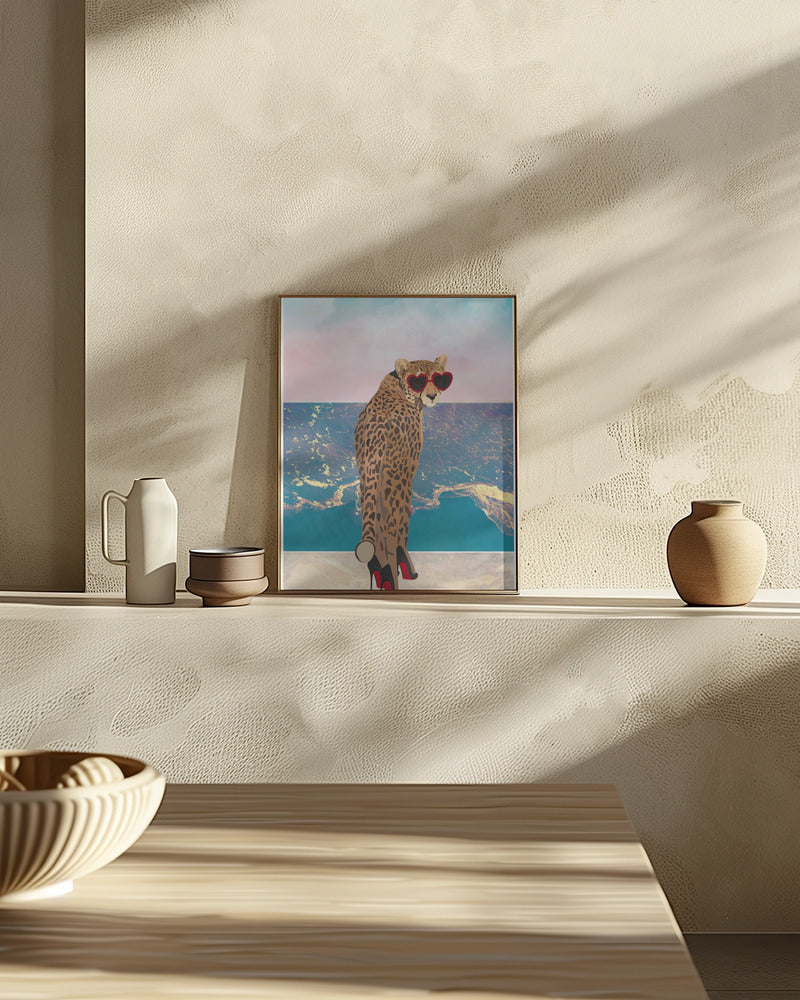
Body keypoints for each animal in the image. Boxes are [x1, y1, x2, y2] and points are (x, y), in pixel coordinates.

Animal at [354, 354, 452, 590]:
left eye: (439, 378)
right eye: (418, 380)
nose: (432, 395)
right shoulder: (408, 471)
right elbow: (404, 519)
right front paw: (404, 564)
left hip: (368, 475)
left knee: (376, 522)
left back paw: (381, 573)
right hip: (394, 478)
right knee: (390, 528)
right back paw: (395, 576)